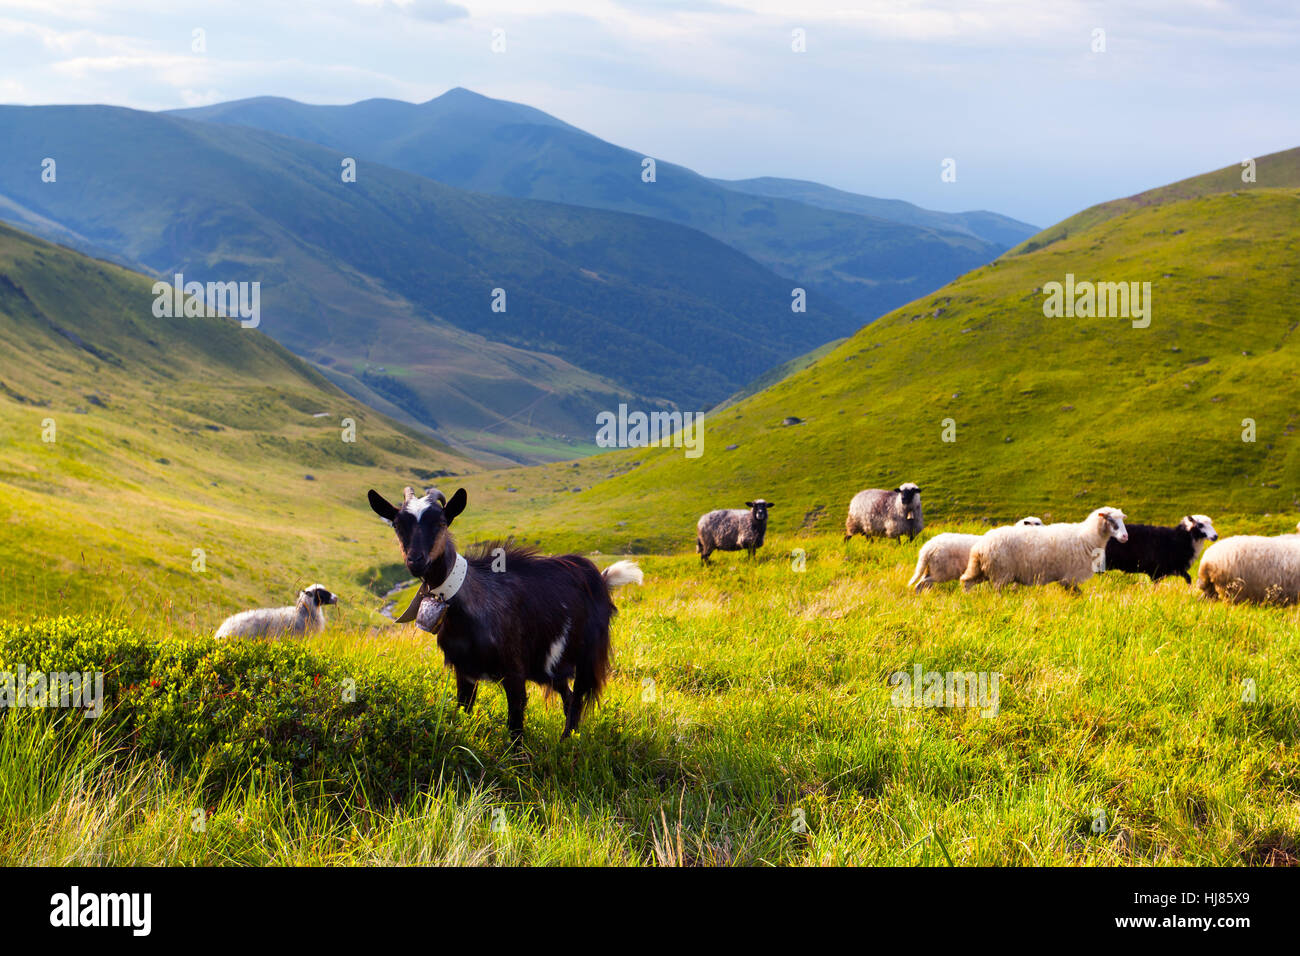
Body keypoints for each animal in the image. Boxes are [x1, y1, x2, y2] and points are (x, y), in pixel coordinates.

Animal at [907, 517, 1042, 592]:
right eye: (1037, 524)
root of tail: (927, 548)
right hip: (941, 571)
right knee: (922, 583)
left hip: (932, 569)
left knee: (924, 583)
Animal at [961, 507, 1128, 591]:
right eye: (1110, 519)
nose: (1125, 536)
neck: (1088, 537)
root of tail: (979, 546)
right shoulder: (1069, 576)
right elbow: (1076, 594)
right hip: (1000, 573)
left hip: (981, 569)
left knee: (966, 582)